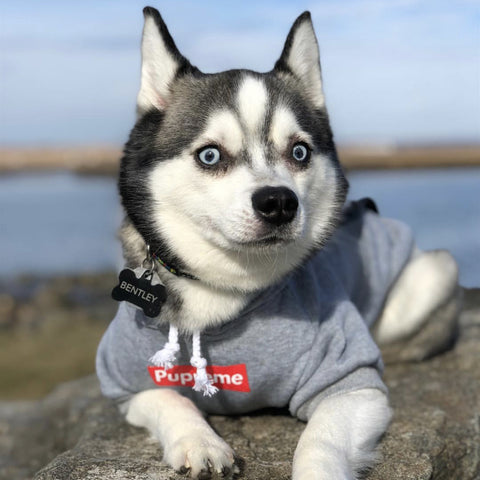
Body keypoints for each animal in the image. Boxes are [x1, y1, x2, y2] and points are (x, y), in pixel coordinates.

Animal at [95, 7, 460, 480]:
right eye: (210, 155)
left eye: (300, 152)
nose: (279, 202)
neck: (225, 288)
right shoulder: (126, 382)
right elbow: (170, 399)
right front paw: (200, 443)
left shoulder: (353, 382)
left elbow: (322, 442)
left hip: (435, 271)